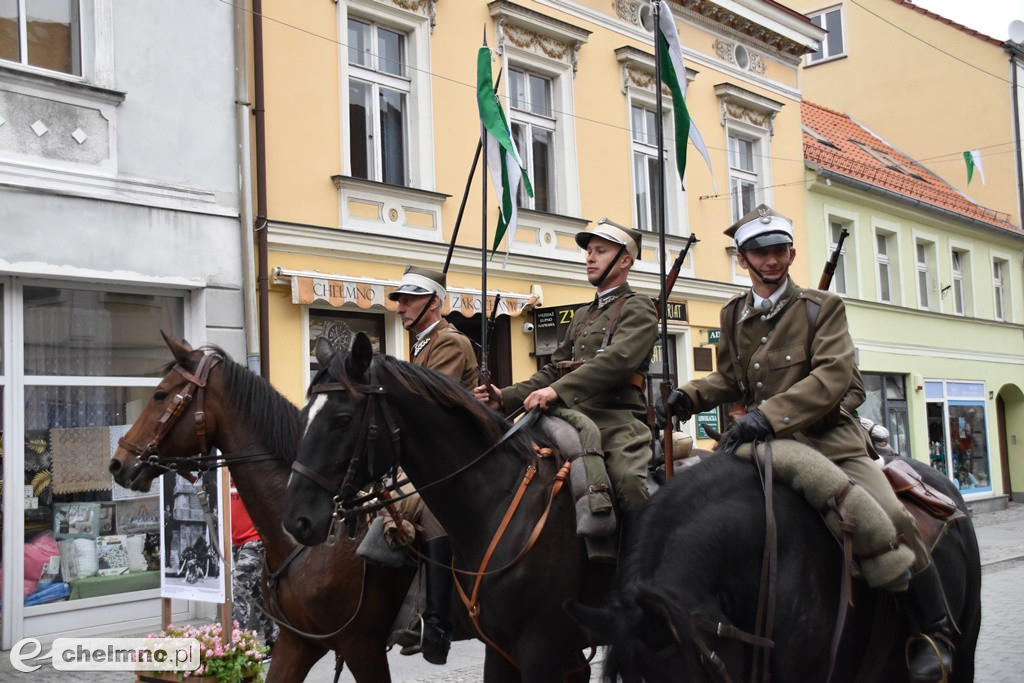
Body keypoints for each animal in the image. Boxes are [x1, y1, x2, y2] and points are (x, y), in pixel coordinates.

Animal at [280, 335, 606, 683]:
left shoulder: (540, 648)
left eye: (342, 420)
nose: (296, 520)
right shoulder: (500, 648)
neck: (500, 502)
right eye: (303, 416)